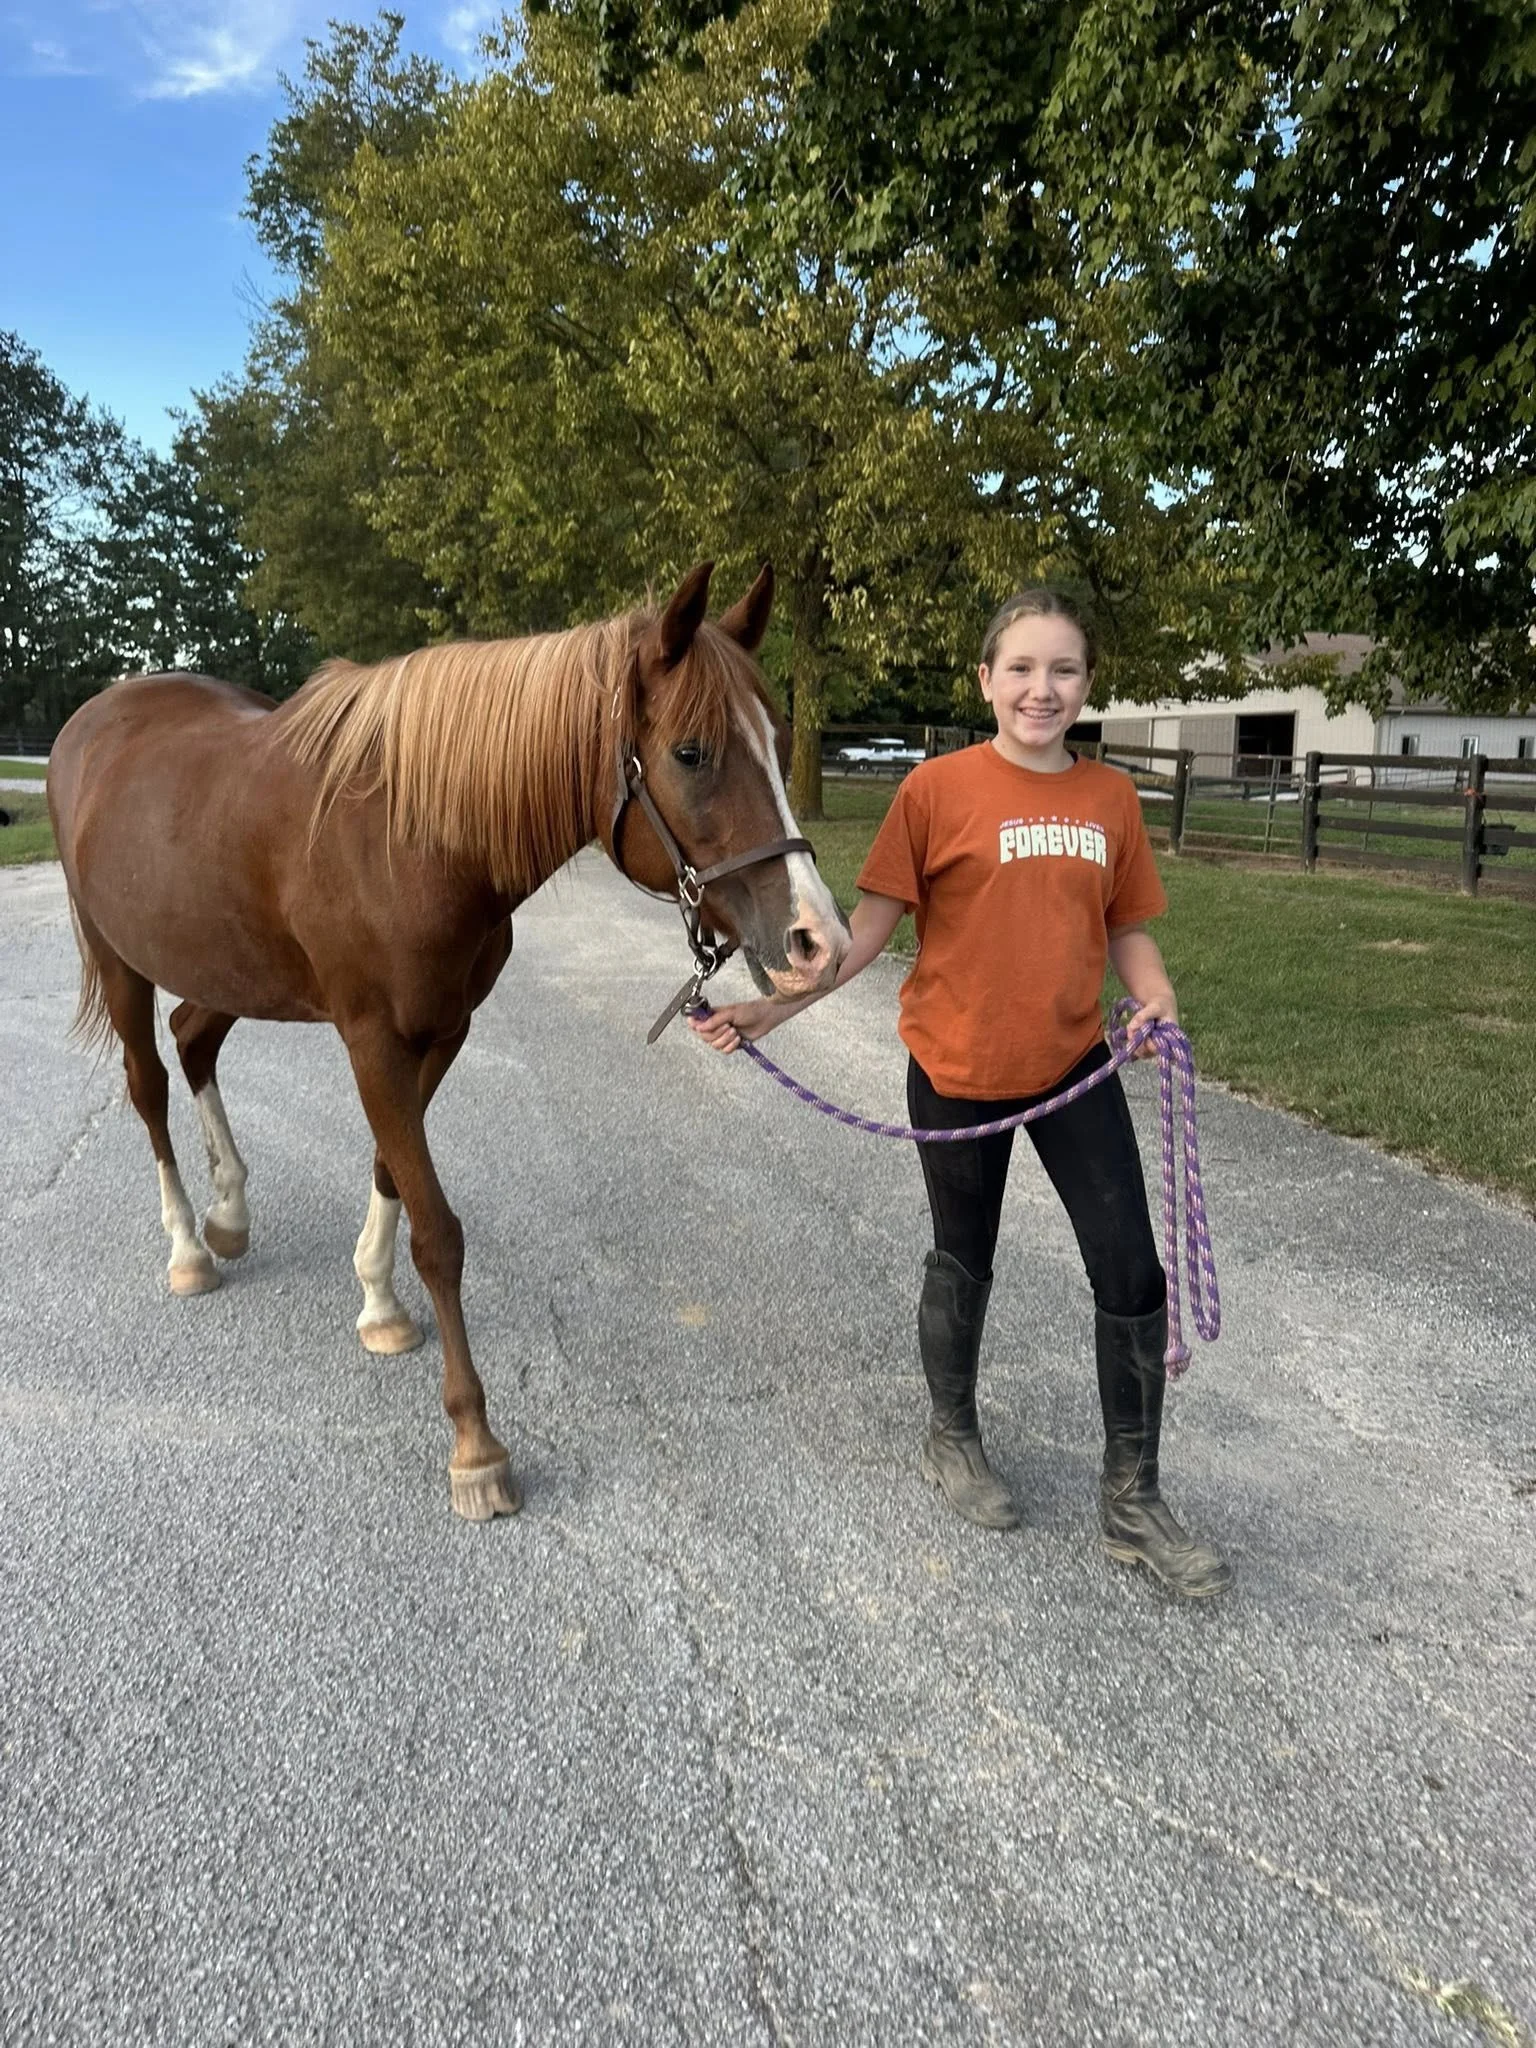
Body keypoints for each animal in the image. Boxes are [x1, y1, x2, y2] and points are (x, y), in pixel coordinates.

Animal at [47, 562, 848, 1521]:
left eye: (781, 739)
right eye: (692, 753)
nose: (819, 942)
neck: (412, 835)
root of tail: (91, 722)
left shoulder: (443, 1031)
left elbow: (393, 1170)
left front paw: (378, 1303)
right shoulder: (370, 1040)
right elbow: (438, 1230)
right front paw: (475, 1442)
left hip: (226, 966)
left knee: (193, 1042)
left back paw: (231, 1214)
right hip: (120, 960)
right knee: (149, 1082)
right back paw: (189, 1251)